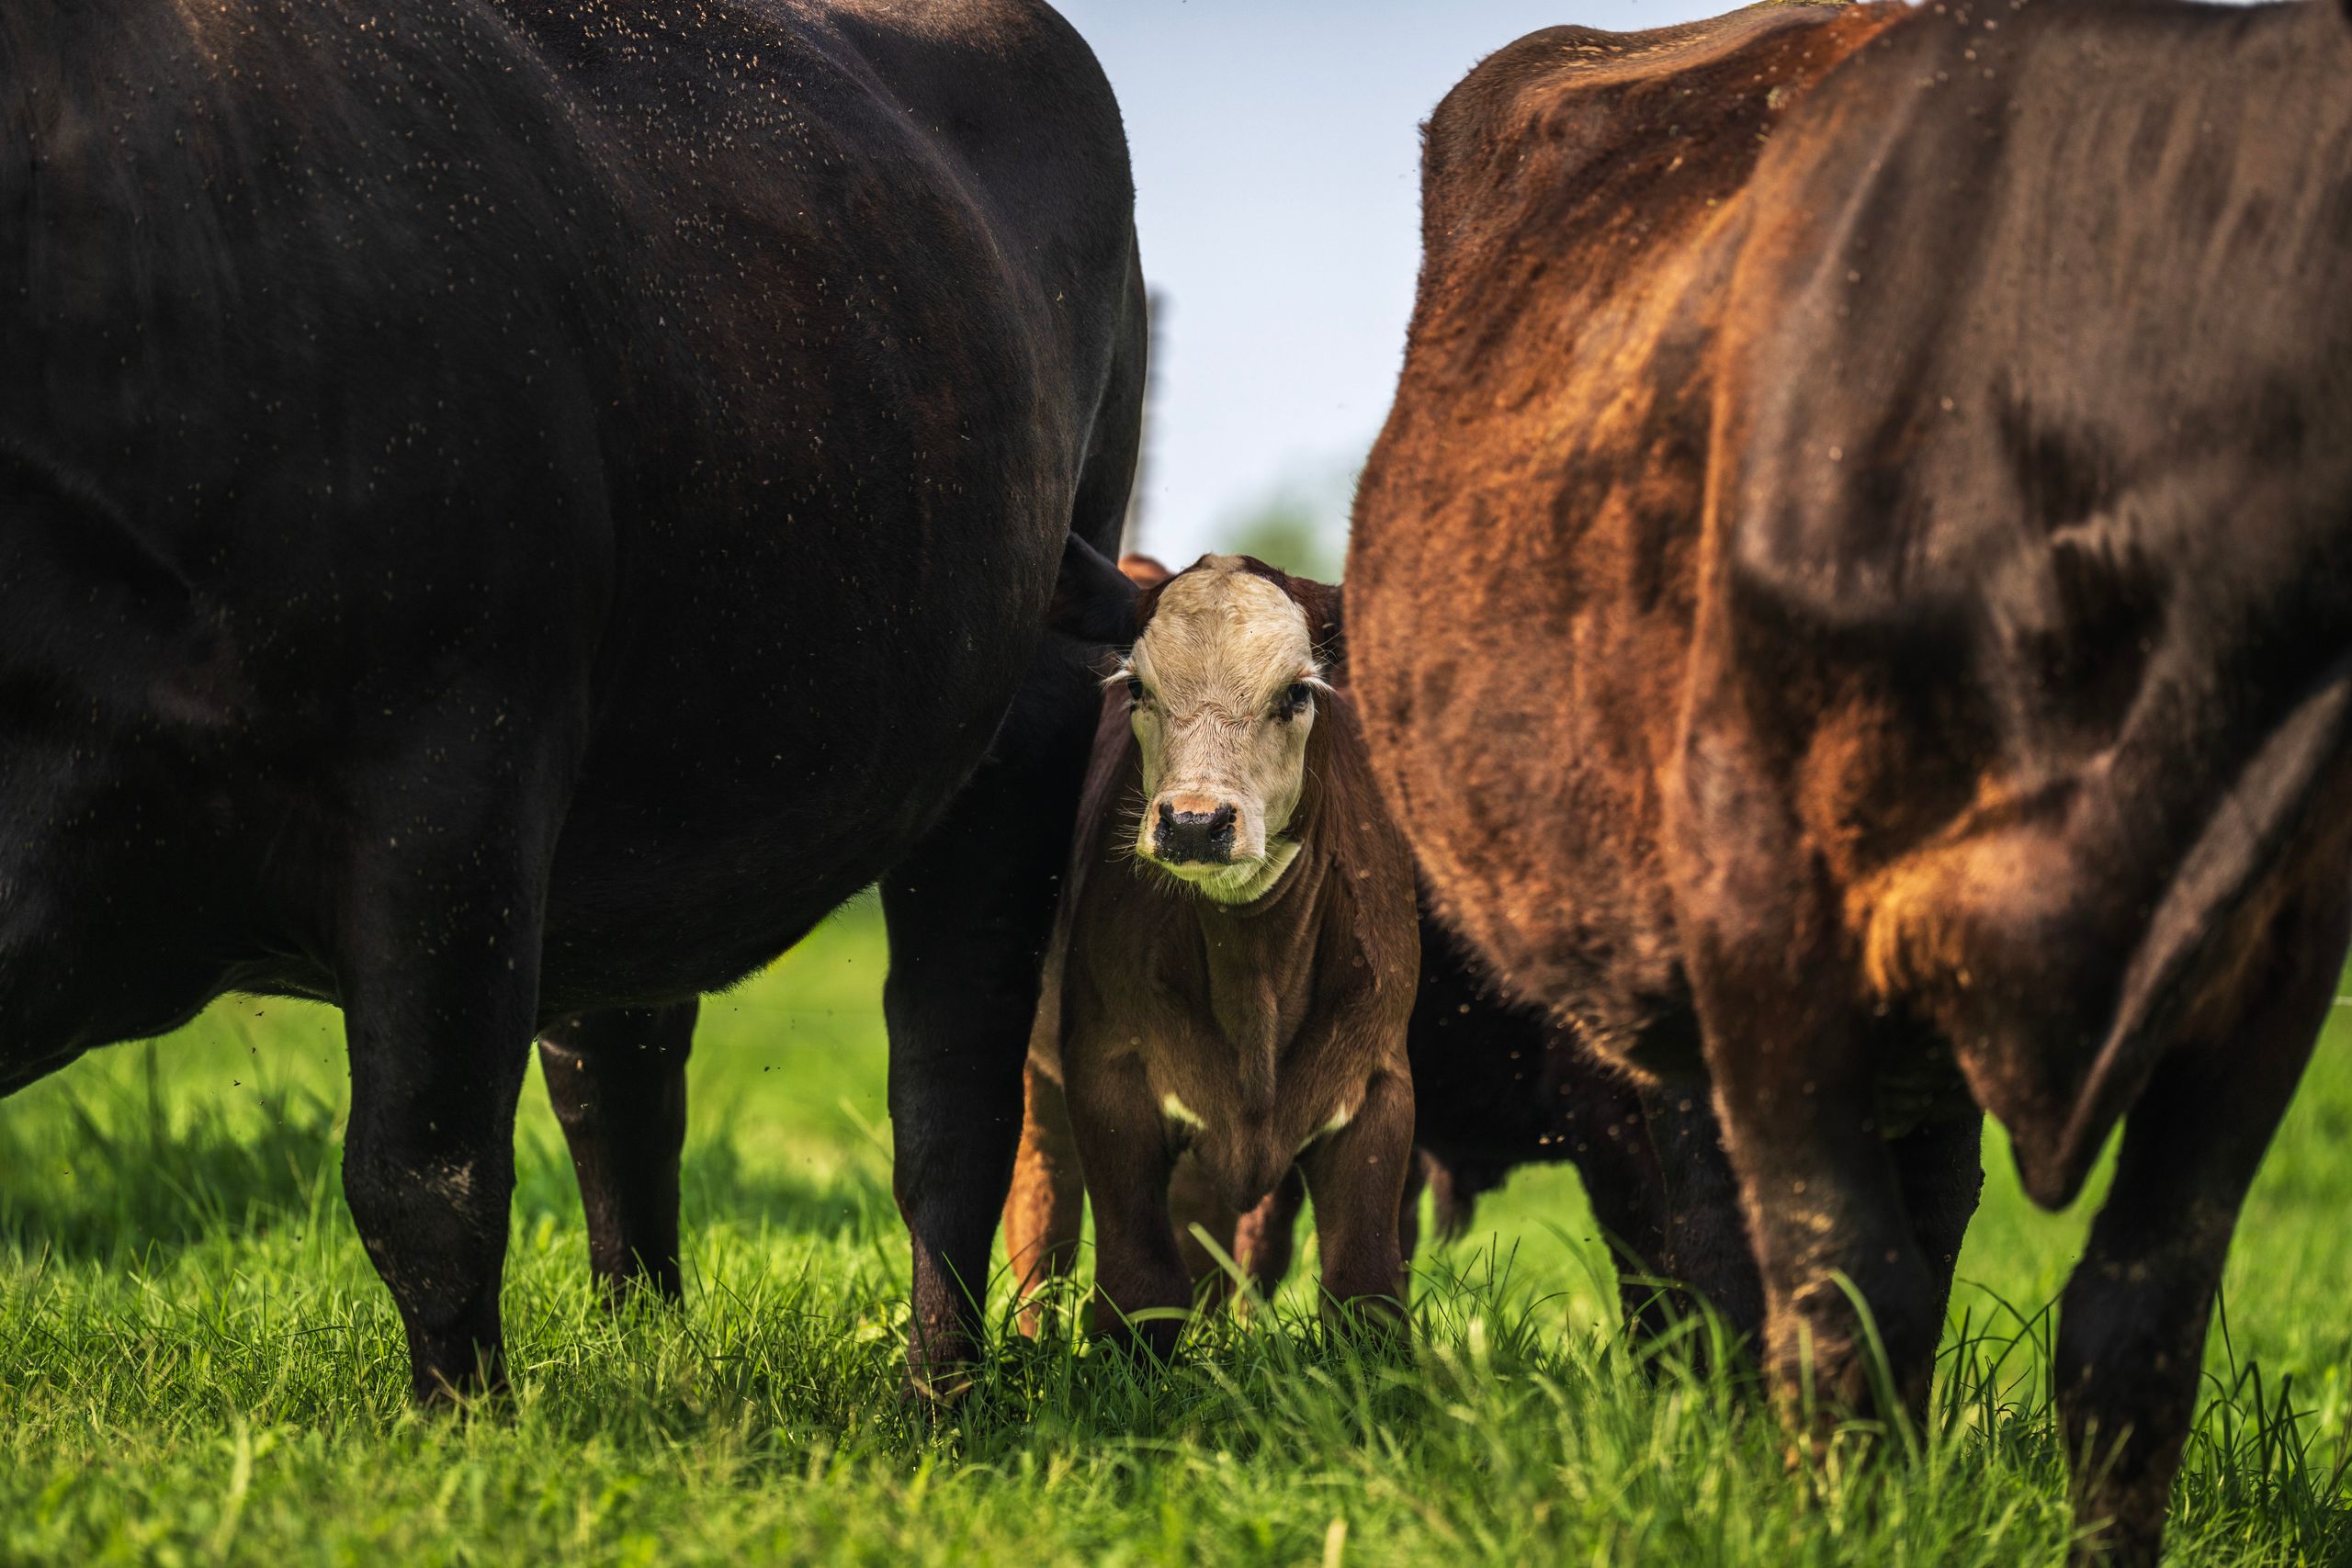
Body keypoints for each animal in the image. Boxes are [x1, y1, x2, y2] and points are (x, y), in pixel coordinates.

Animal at [0, 0, 1145, 1403]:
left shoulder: (456, 768)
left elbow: (424, 1177)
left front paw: (462, 1428)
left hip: (1024, 706)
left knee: (952, 1091)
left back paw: (942, 1389)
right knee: (623, 1067)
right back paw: (644, 1341)